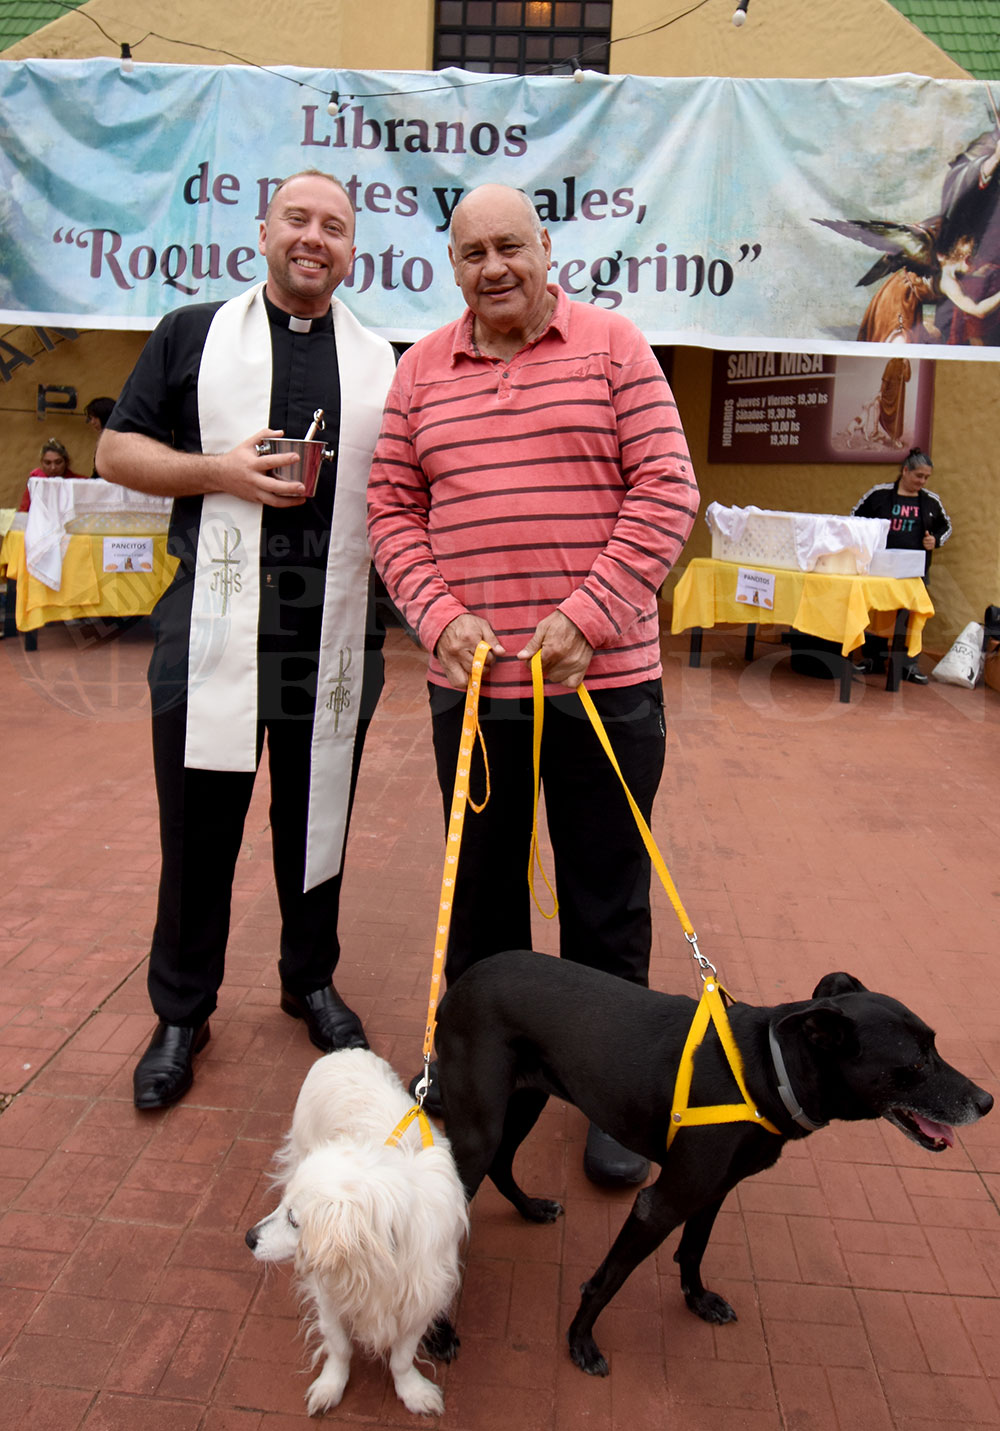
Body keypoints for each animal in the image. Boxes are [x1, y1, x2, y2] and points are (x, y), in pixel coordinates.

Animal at [244, 1047, 468, 1416]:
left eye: (294, 1220)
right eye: (284, 1208)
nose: (249, 1239)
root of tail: (342, 1052)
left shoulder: (421, 1300)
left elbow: (402, 1359)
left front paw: (414, 1393)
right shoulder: (328, 1294)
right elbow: (339, 1347)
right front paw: (330, 1387)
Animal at [435, 951, 993, 1377]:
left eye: (936, 1046)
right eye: (915, 1064)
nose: (986, 1102)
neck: (768, 1069)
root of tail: (463, 980)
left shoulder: (714, 1189)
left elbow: (693, 1249)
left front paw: (697, 1300)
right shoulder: (661, 1203)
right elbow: (608, 1280)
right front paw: (580, 1341)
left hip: (523, 1101)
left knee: (503, 1164)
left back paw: (530, 1209)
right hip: (482, 1126)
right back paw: (439, 1332)